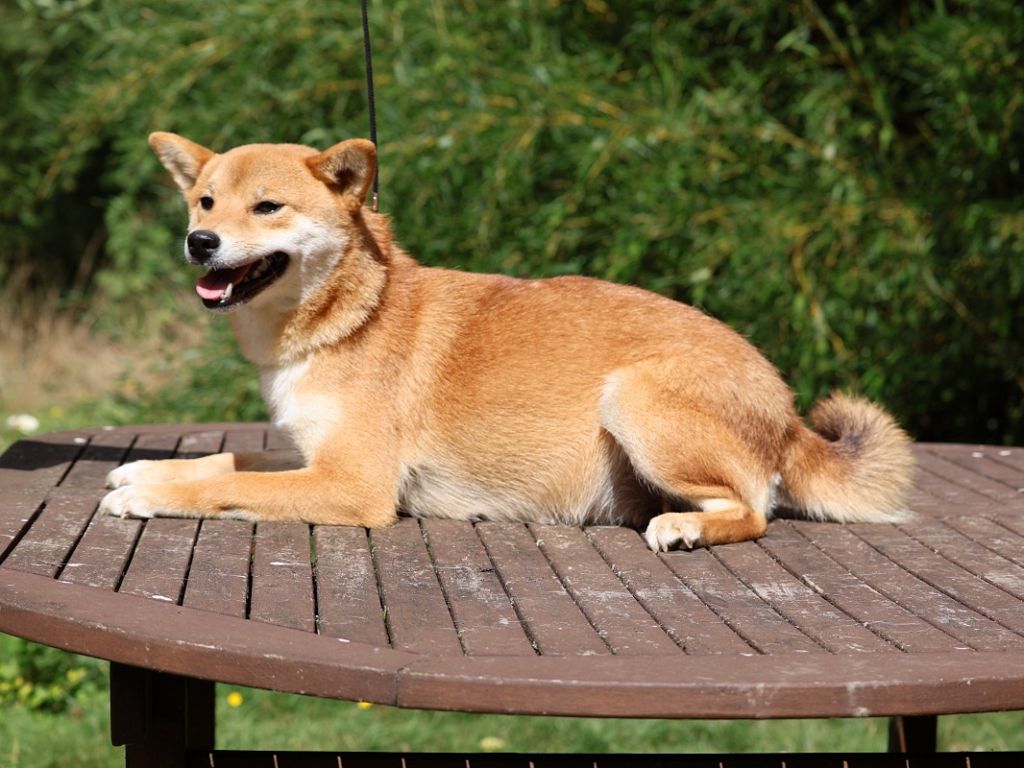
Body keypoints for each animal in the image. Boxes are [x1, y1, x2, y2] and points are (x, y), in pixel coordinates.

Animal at [99, 134, 917, 552]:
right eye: (205, 201)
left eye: (267, 207)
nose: (199, 242)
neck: (350, 315)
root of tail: (786, 409)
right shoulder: (315, 456)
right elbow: (233, 460)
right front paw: (150, 466)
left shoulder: (352, 484)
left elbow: (231, 485)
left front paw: (152, 495)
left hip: (634, 396)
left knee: (752, 510)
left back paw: (685, 525)